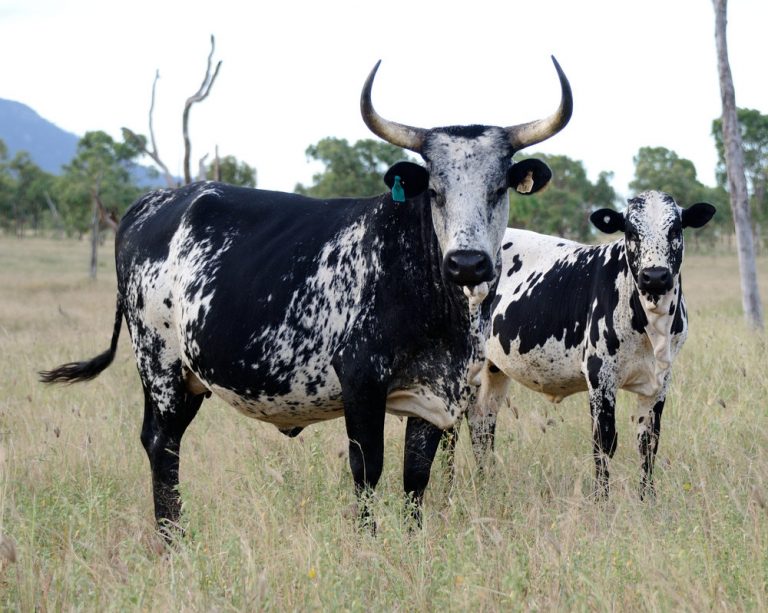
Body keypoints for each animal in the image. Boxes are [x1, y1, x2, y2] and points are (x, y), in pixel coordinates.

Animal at [39, 58, 573, 533]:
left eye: (499, 188)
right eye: (436, 190)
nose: (467, 263)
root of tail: (152, 203)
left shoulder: (436, 393)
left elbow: (415, 479)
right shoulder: (361, 380)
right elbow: (367, 469)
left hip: (189, 378)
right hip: (159, 364)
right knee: (161, 444)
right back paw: (174, 540)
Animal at [460, 191, 715, 498]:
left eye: (675, 229)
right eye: (631, 232)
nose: (655, 276)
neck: (653, 328)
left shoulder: (660, 381)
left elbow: (648, 442)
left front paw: (648, 499)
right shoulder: (600, 375)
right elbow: (604, 442)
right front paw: (601, 500)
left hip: (493, 368)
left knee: (482, 419)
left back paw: (488, 483)